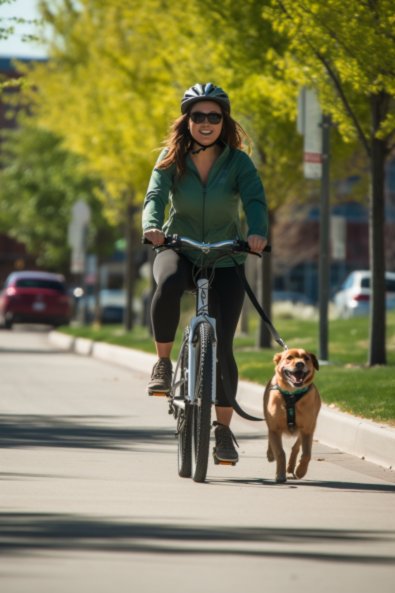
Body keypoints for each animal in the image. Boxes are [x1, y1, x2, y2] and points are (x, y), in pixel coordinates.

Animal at [262, 346, 322, 480]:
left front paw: (301, 471)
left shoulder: (307, 429)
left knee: (296, 447)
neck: (292, 394)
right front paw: (280, 474)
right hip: (270, 422)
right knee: (270, 437)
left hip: (308, 428)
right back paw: (270, 454)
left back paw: (291, 467)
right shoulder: (275, 427)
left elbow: (307, 454)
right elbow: (280, 452)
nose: (300, 363)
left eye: (306, 358)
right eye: (289, 357)